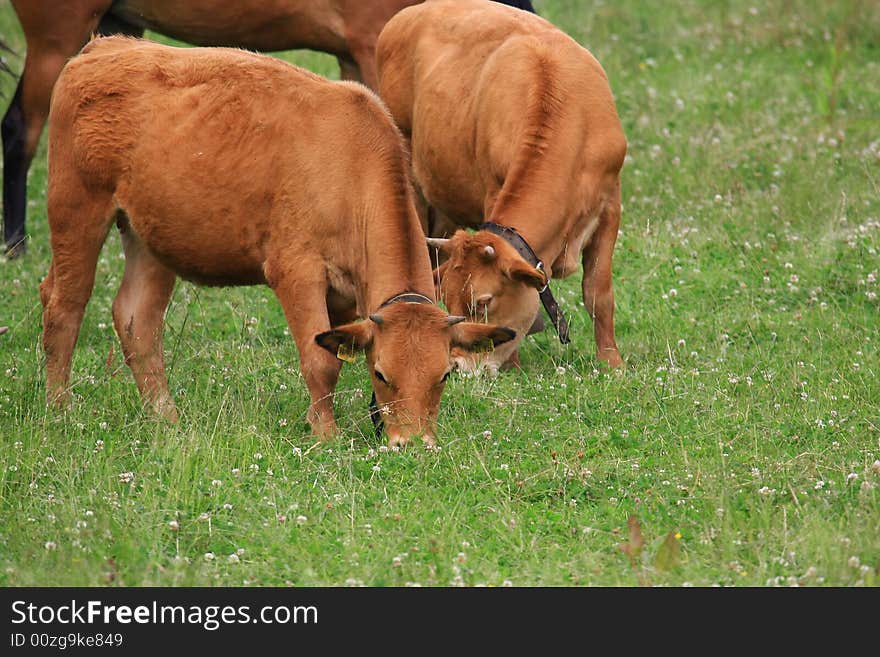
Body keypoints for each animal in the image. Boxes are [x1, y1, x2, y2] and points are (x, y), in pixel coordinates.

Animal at [43, 36, 516, 446]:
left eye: (444, 376)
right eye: (382, 374)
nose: (414, 444)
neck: (352, 168)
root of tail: (105, 47)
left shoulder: (344, 296)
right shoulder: (296, 271)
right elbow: (320, 362)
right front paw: (326, 434)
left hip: (150, 238)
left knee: (137, 320)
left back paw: (166, 418)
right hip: (76, 210)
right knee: (64, 306)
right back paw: (60, 410)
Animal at [376, 0, 624, 368]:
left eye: (484, 301)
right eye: (452, 301)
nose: (458, 365)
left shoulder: (610, 206)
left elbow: (599, 292)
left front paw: (611, 362)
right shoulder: (493, 190)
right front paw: (514, 366)